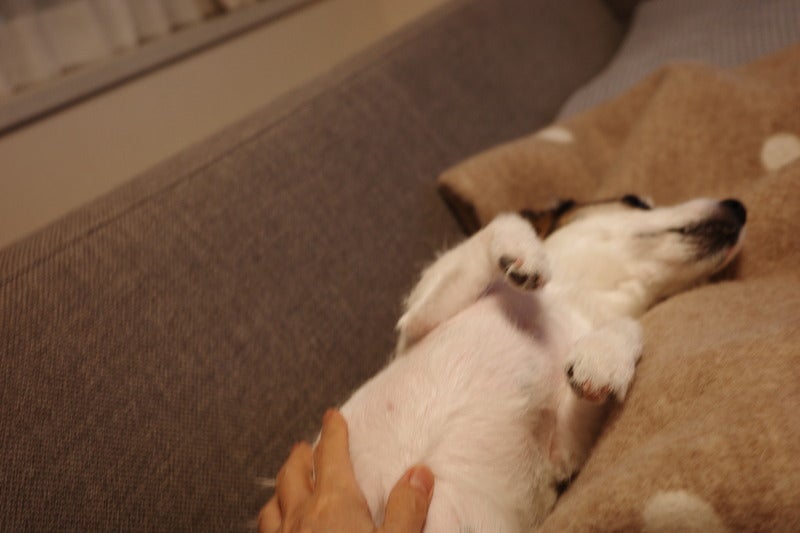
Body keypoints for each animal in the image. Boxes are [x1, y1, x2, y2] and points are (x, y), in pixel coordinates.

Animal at [336, 196, 747, 531]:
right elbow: (502, 223)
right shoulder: (419, 321)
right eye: (635, 201)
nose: (740, 206)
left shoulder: (563, 449)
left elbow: (627, 330)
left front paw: (602, 357)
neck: (578, 298)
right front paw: (527, 253)